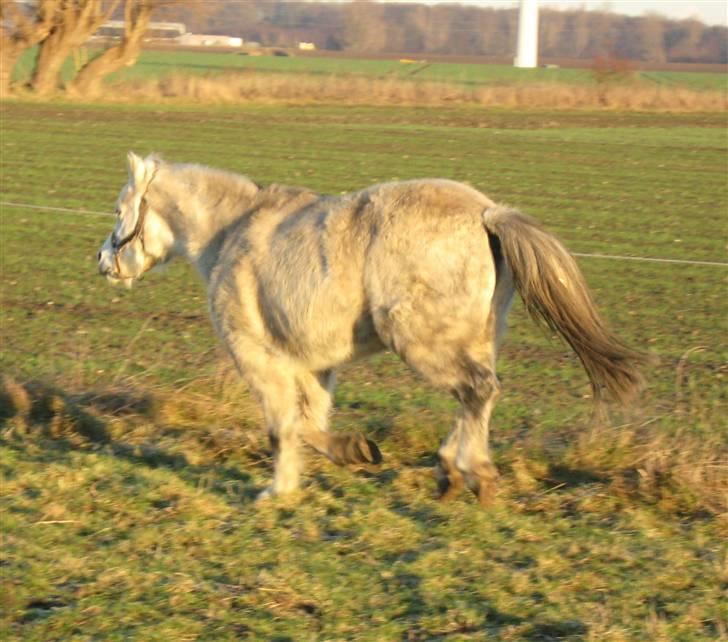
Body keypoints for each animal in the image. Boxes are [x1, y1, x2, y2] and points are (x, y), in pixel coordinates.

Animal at [98, 152, 644, 502]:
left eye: (120, 209)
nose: (104, 260)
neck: (230, 234)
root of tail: (487, 213)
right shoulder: (314, 366)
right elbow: (310, 422)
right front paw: (342, 456)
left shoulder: (256, 356)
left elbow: (285, 426)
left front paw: (281, 487)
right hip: (476, 338)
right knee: (476, 398)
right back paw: (453, 470)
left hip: (421, 341)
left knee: (478, 390)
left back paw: (473, 474)